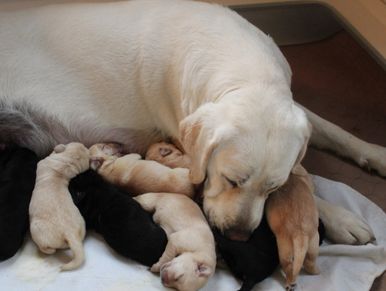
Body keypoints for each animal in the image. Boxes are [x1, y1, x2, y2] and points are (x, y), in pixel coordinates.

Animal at [29, 143, 89, 272]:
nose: (87, 147)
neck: (65, 165)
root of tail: (70, 233)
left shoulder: (42, 163)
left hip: (37, 230)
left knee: (48, 249)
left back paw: (46, 249)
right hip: (82, 227)